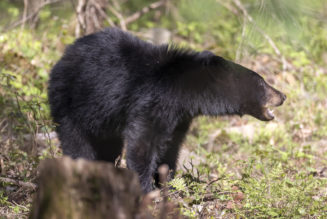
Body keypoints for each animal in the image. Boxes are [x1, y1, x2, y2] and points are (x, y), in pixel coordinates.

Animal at [48, 27, 288, 192]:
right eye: (263, 83)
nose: (283, 95)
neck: (186, 90)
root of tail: (63, 56)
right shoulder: (153, 102)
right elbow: (143, 144)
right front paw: (146, 188)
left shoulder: (179, 115)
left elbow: (171, 145)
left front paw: (169, 181)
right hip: (71, 101)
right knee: (76, 142)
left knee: (108, 145)